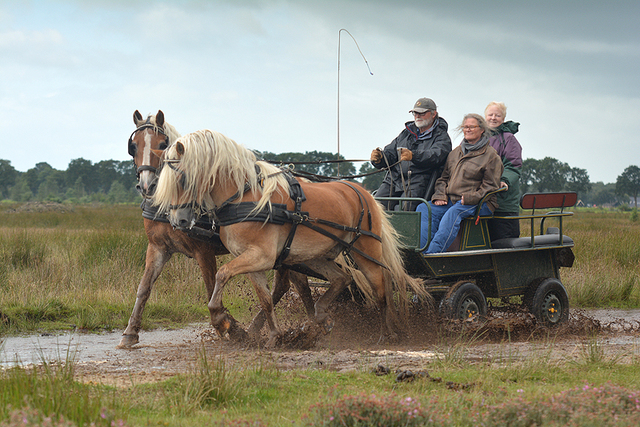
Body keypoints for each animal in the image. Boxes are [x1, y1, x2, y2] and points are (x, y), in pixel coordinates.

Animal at [120, 110, 316, 348]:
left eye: (162, 143)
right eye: (133, 147)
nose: (147, 186)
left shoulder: (203, 251)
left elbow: (211, 287)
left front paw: (229, 326)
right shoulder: (158, 248)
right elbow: (144, 288)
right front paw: (130, 332)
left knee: (292, 286)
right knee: (291, 286)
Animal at [152, 129, 428, 346]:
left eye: (182, 178)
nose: (178, 221)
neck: (244, 196)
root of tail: (362, 192)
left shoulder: (260, 256)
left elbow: (222, 274)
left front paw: (221, 321)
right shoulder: (252, 260)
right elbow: (265, 299)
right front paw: (274, 336)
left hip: (366, 252)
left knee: (380, 289)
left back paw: (386, 334)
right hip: (315, 256)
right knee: (342, 278)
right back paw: (320, 317)